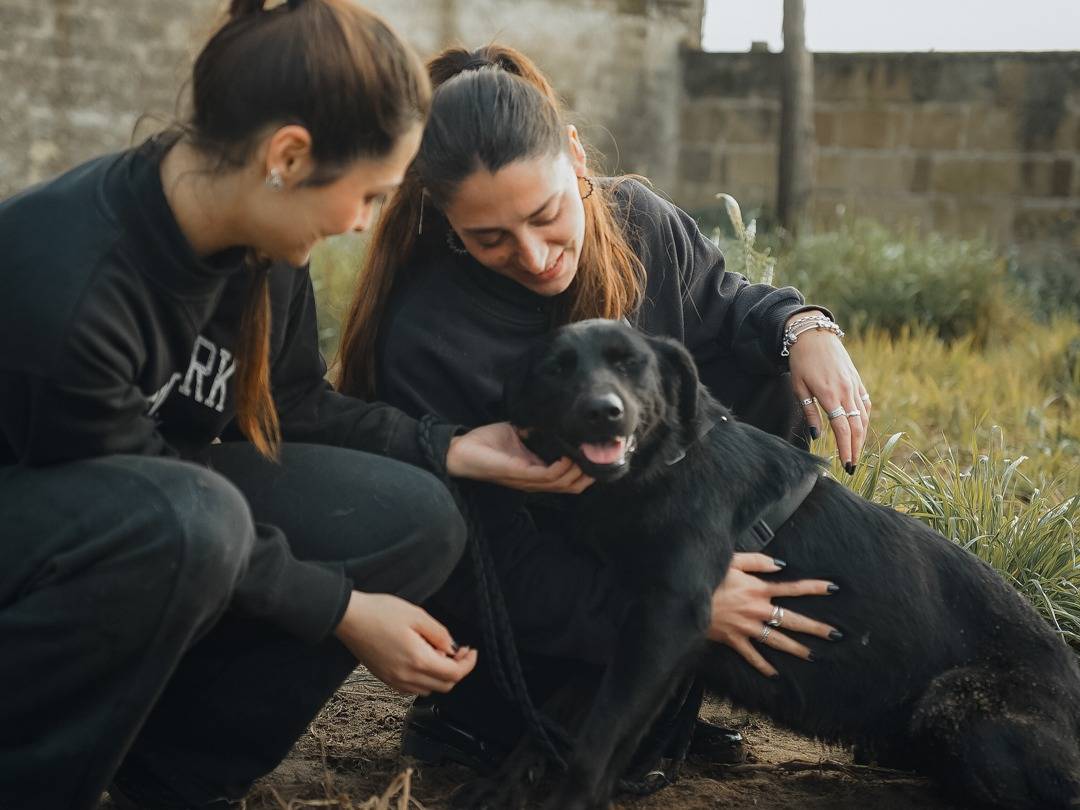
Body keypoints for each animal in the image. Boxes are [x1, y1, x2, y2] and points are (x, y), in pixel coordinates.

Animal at [492, 321, 1080, 810]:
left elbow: (594, 745)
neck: (665, 465)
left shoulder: (666, 622)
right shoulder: (618, 623)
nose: (603, 412)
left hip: (949, 702)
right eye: (557, 368)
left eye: (630, 363)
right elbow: (547, 725)